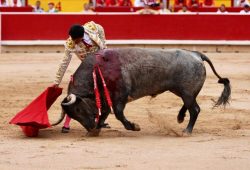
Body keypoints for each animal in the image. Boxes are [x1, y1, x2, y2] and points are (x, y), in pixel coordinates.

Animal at [53, 47, 231, 135]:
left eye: (77, 109)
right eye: (73, 115)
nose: (90, 128)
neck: (97, 69)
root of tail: (196, 54)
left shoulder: (119, 96)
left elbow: (118, 113)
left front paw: (134, 126)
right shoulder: (105, 97)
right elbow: (104, 112)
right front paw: (98, 126)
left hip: (186, 92)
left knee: (195, 109)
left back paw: (186, 131)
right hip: (182, 91)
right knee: (190, 105)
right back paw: (180, 118)